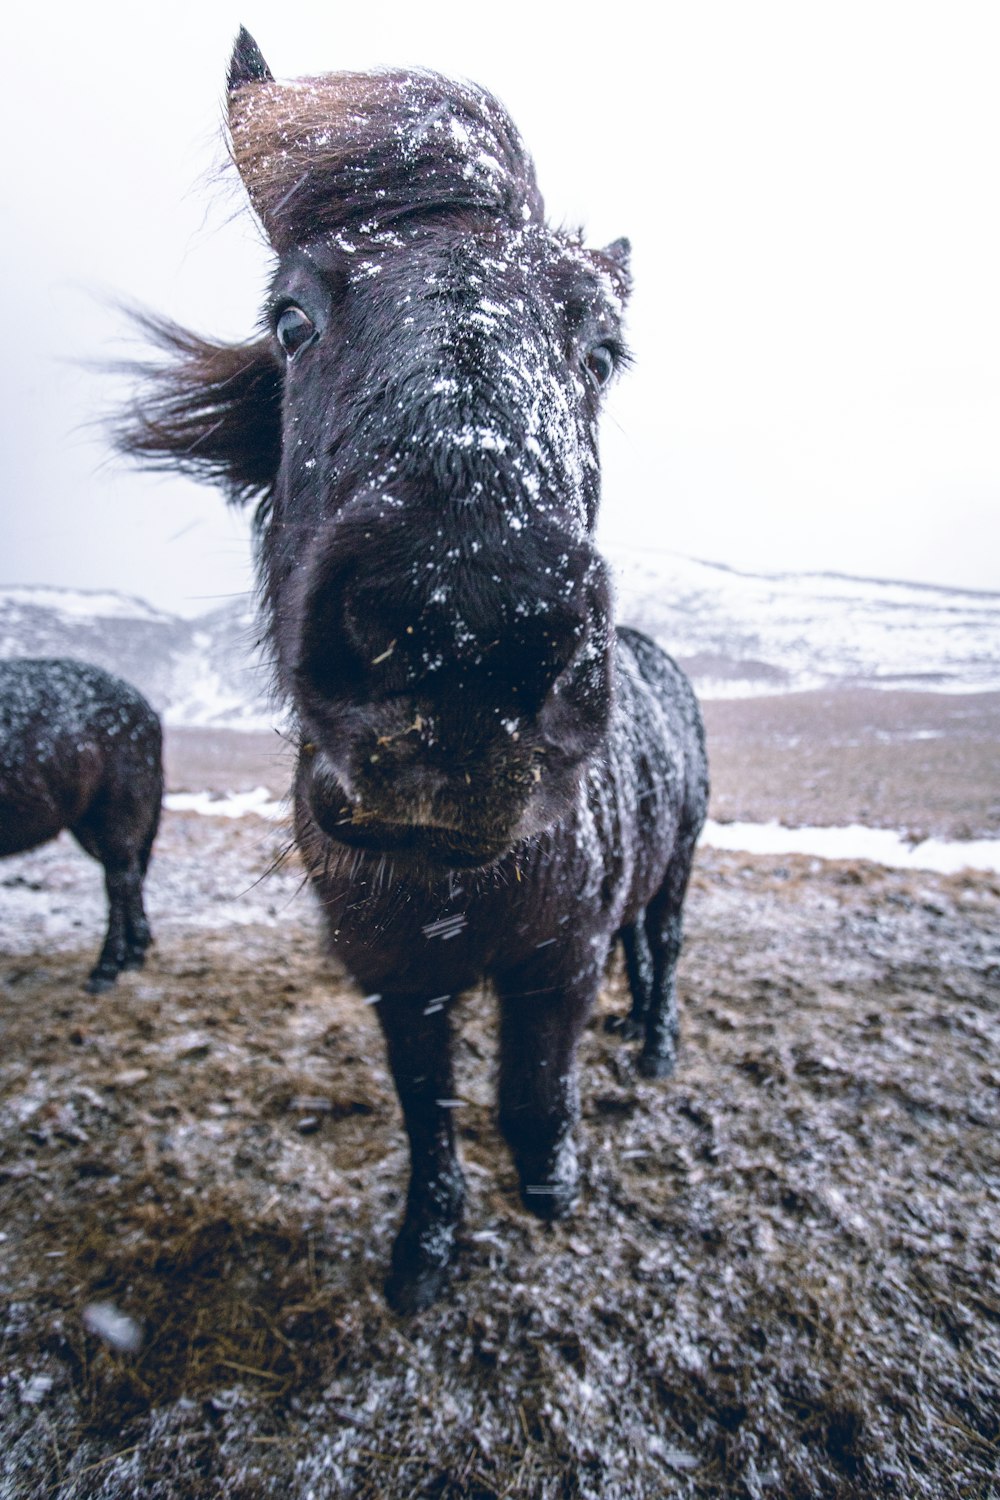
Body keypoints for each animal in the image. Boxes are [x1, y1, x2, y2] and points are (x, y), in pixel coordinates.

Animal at [0, 660, 162, 990]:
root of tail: (146, 710)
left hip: (115, 815)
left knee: (119, 881)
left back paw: (106, 969)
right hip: (88, 824)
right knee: (130, 877)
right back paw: (133, 954)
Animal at [119, 29, 710, 1308]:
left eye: (601, 351)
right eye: (291, 318)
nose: (466, 632)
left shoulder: (557, 956)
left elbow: (530, 1084)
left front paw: (550, 1179)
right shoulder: (396, 976)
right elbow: (427, 1108)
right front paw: (425, 1246)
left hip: (678, 868)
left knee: (664, 947)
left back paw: (652, 1047)